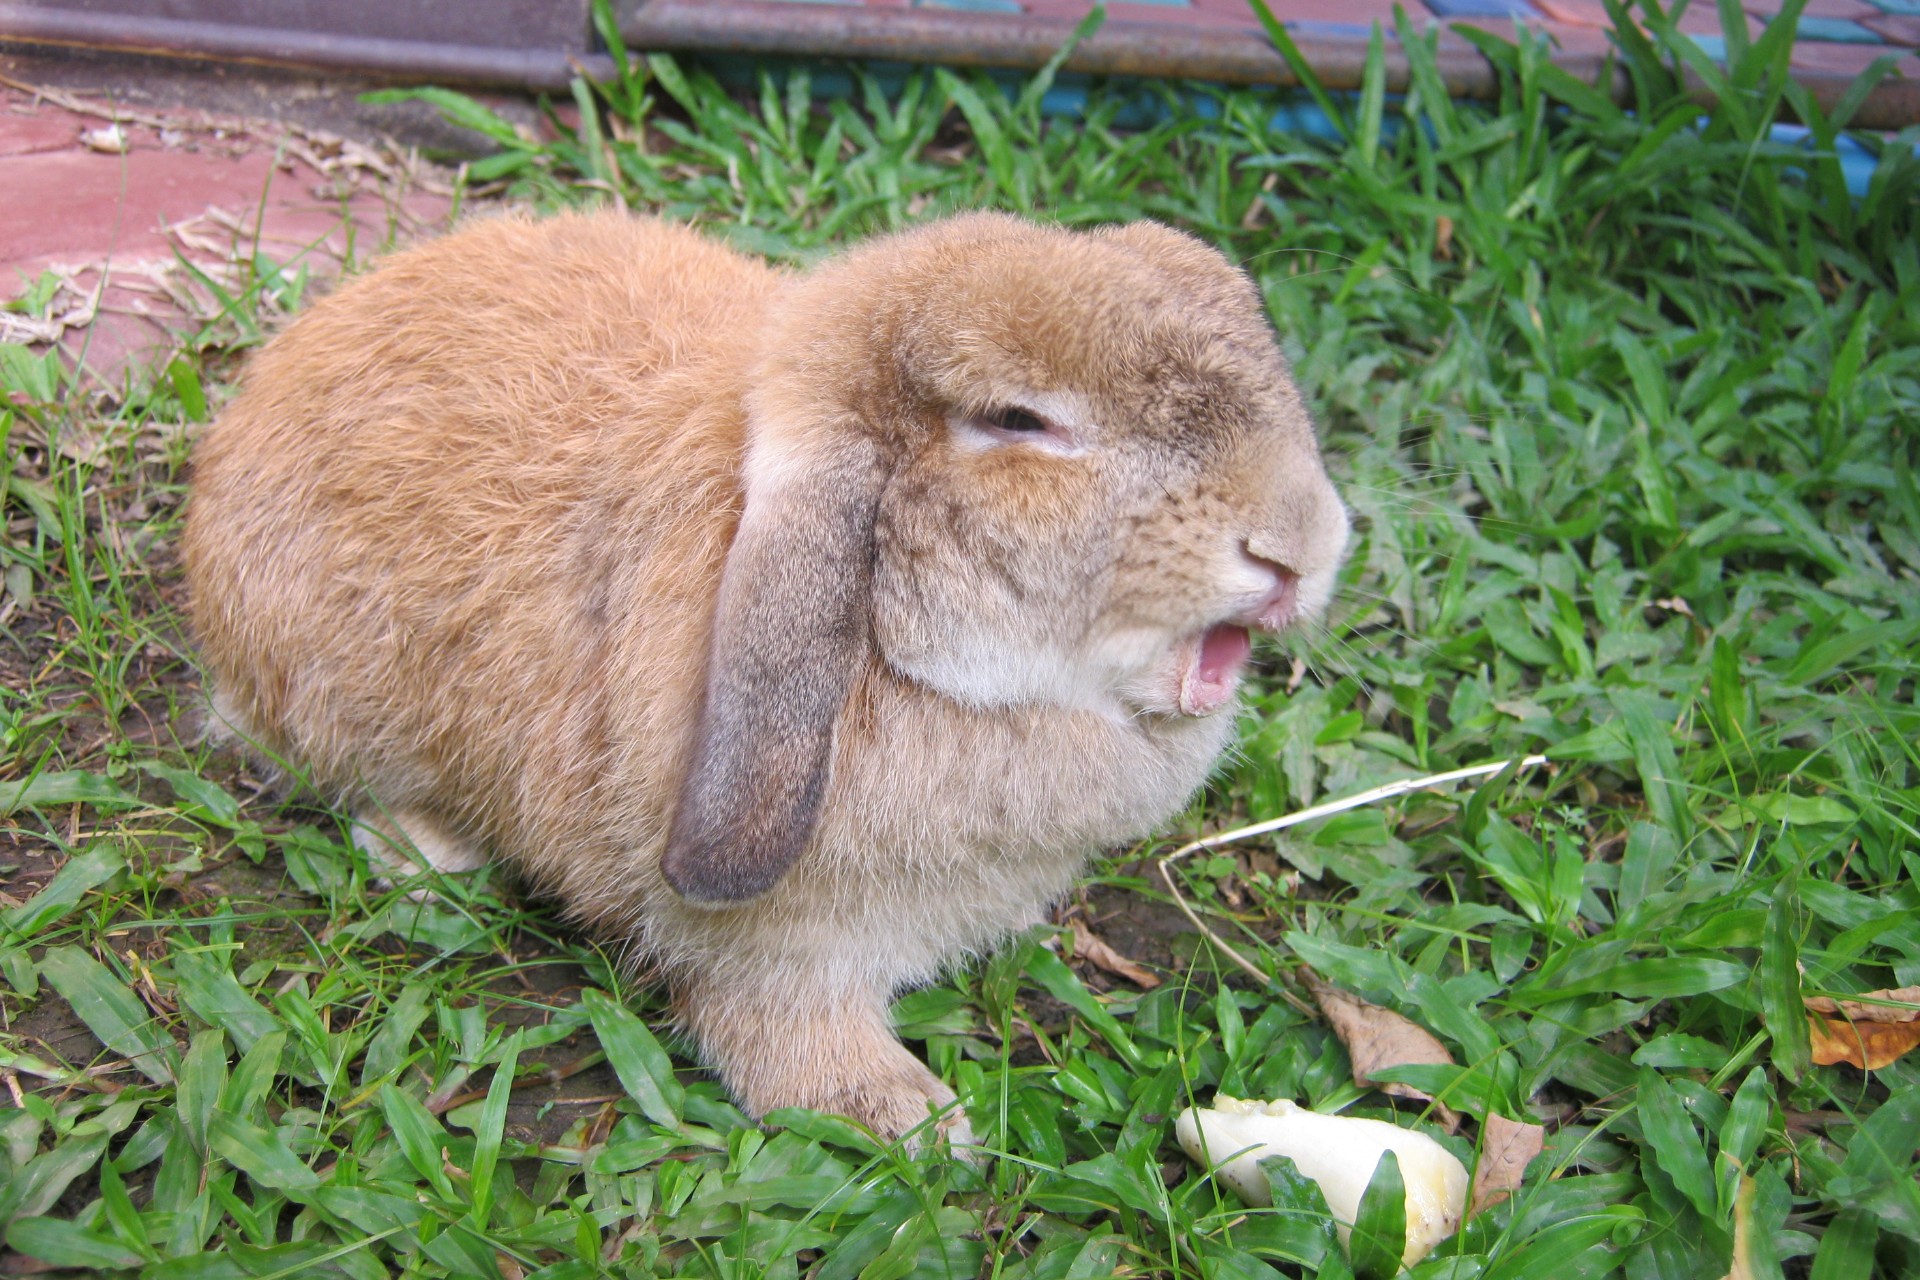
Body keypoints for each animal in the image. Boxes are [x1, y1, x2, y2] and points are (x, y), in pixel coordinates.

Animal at [181, 209, 1350, 1146]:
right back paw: (424, 850)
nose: (1302, 542)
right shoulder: (772, 944)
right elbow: (779, 1022)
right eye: (1019, 420)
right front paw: (904, 1118)